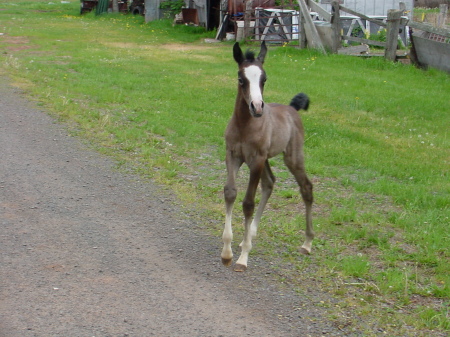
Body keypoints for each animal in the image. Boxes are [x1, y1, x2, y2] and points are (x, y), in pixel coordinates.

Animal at [221, 41, 312, 270]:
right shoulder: (233, 156)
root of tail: (292, 108)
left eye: (264, 79)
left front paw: (243, 258)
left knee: (306, 187)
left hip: (291, 157)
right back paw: (250, 236)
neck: (245, 126)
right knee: (270, 183)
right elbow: (230, 193)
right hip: (266, 160)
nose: (257, 107)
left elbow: (248, 203)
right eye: (241, 79)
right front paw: (227, 252)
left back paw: (307, 243)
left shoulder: (256, 160)